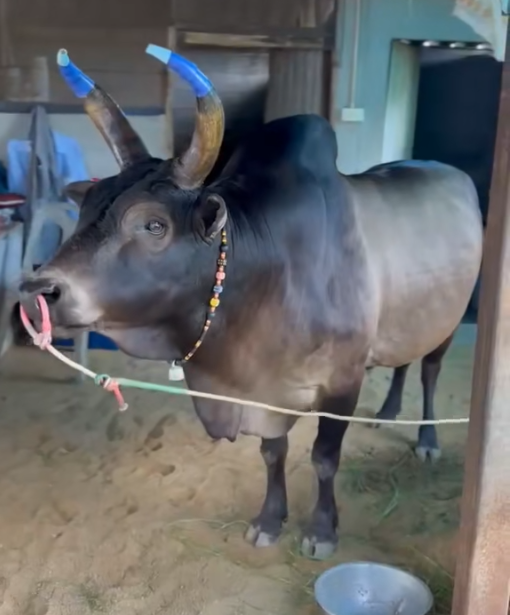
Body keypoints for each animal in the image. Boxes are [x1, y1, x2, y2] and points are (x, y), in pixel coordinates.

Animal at [19, 45, 483, 560]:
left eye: (153, 224)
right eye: (85, 210)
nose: (39, 292)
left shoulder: (342, 381)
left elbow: (324, 458)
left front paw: (321, 531)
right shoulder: (261, 395)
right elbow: (272, 453)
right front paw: (268, 520)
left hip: (449, 320)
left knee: (429, 370)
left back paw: (427, 438)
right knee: (402, 362)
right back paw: (386, 413)